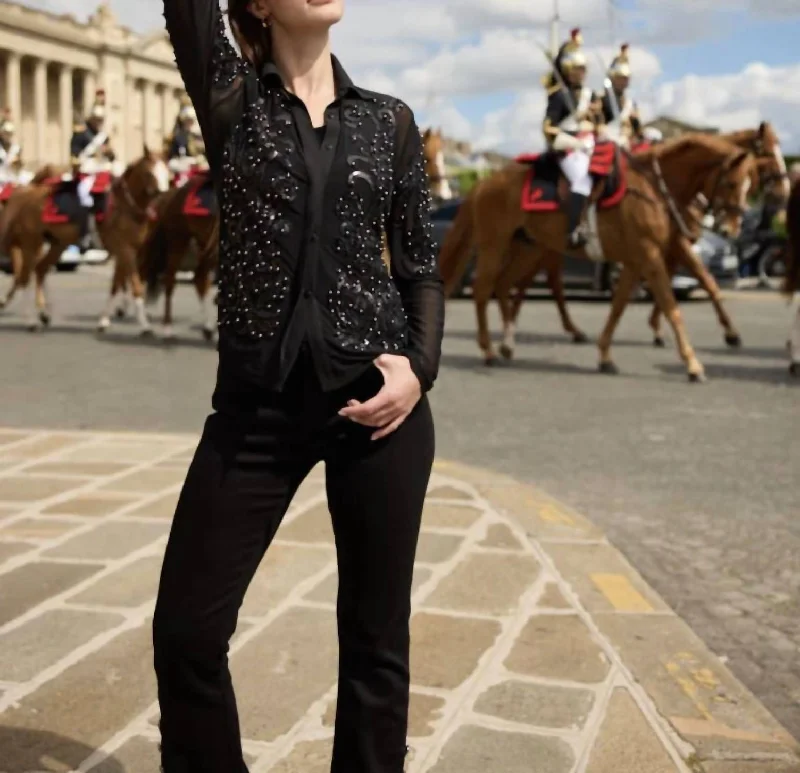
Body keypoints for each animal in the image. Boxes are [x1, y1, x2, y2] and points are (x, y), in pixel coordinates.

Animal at [0, 149, 167, 332]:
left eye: (165, 170)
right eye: (149, 172)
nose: (163, 193)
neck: (125, 206)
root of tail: (27, 192)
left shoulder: (126, 251)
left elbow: (116, 284)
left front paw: (104, 321)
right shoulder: (125, 250)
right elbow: (136, 286)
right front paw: (145, 325)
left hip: (57, 244)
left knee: (40, 270)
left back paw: (44, 313)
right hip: (32, 244)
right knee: (24, 278)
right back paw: (30, 321)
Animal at [438, 136, 756, 386]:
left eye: (749, 186)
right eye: (731, 183)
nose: (731, 230)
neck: (653, 188)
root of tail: (484, 182)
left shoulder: (637, 260)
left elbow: (618, 306)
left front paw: (605, 355)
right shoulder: (650, 255)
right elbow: (671, 307)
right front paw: (692, 364)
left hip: (528, 249)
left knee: (504, 285)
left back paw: (507, 344)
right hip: (494, 245)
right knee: (483, 291)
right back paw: (489, 350)